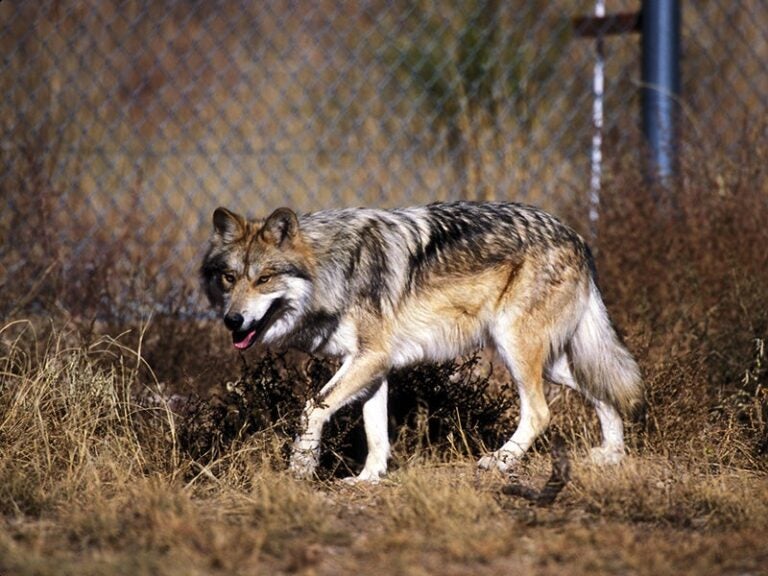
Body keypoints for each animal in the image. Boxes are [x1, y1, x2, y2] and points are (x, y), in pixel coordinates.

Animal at [201, 201, 642, 482]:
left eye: (264, 279)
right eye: (229, 278)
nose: (232, 320)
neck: (333, 269)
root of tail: (576, 237)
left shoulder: (370, 358)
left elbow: (312, 408)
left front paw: (301, 468)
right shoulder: (372, 366)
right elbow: (376, 433)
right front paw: (368, 478)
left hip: (516, 351)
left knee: (540, 412)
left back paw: (499, 461)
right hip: (550, 362)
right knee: (604, 390)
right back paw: (612, 455)